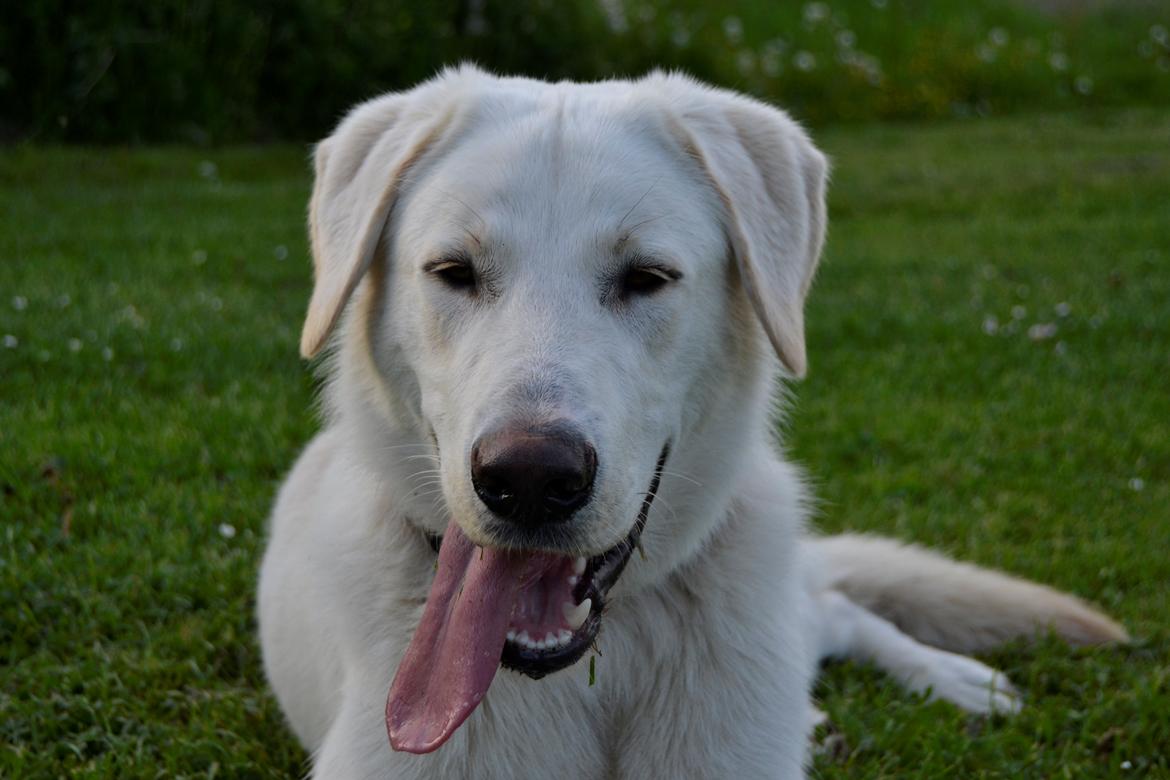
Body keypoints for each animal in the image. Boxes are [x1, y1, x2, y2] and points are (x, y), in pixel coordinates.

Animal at [260, 68, 1127, 780]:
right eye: (453, 272)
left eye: (647, 277)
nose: (529, 479)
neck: (592, 673)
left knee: (837, 608)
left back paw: (945, 677)